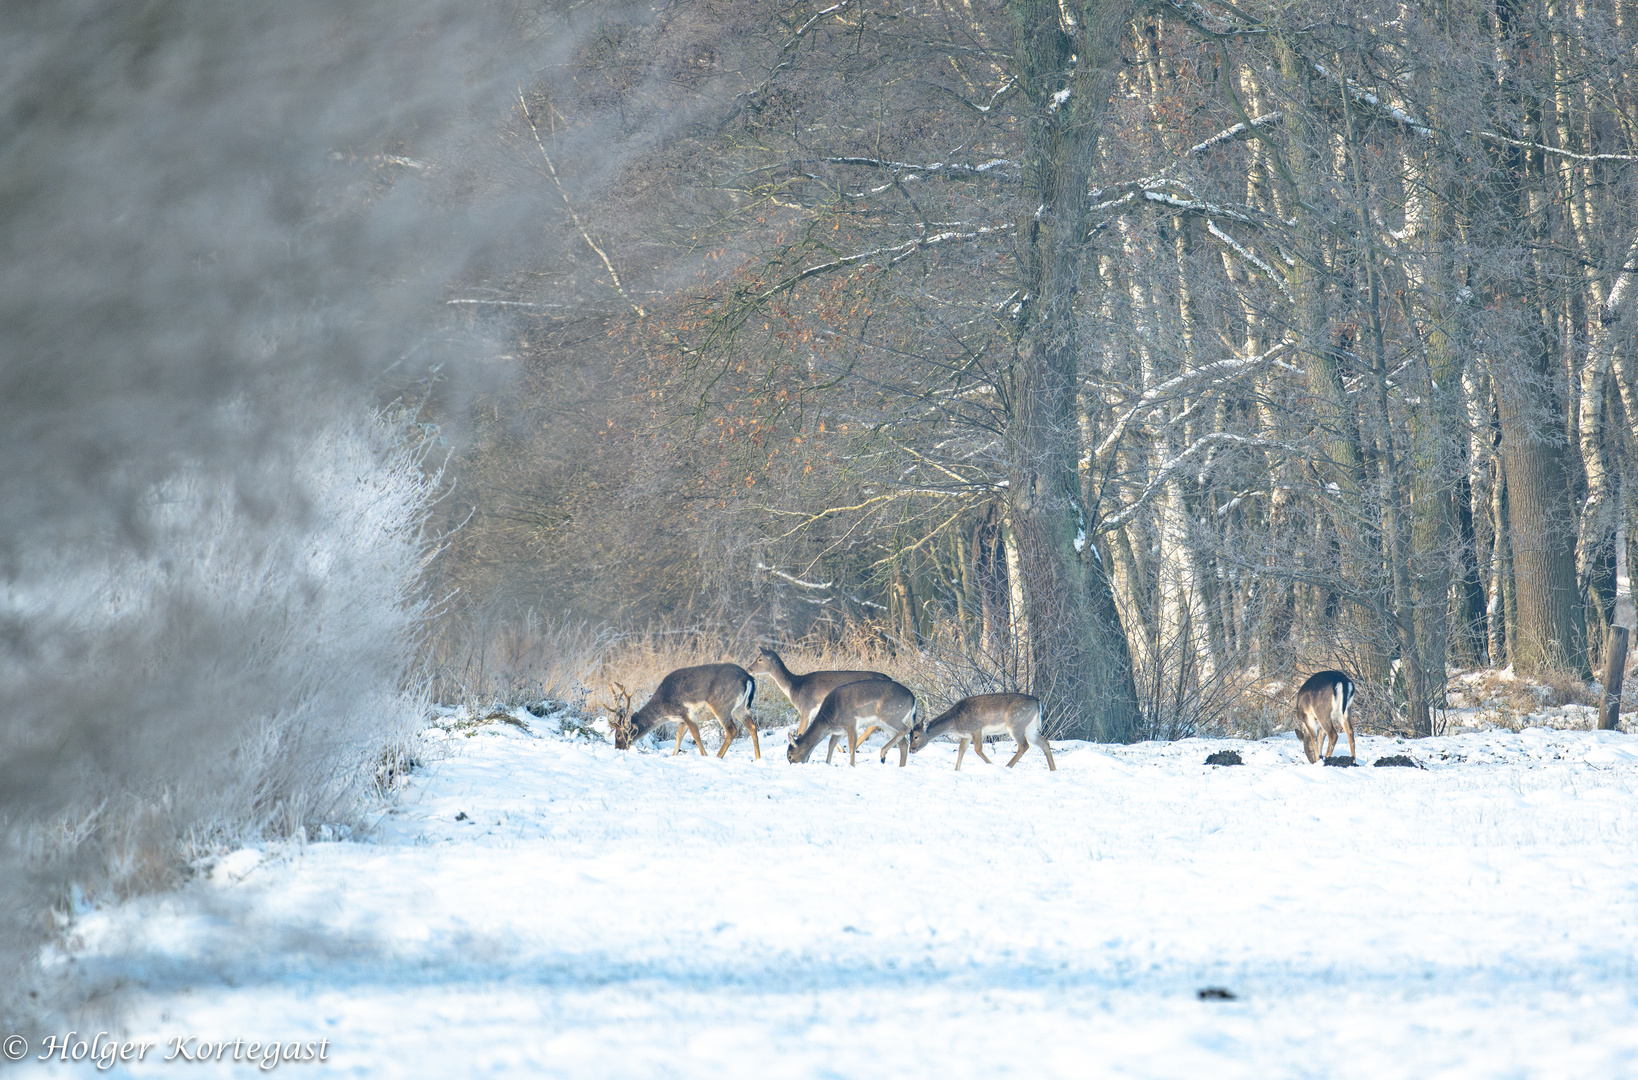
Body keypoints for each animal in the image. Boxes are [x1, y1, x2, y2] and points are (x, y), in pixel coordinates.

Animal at [602, 662, 760, 763]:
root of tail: (749, 678)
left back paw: (718, 757)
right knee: (752, 727)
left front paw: (704, 756)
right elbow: (679, 736)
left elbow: (696, 736)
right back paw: (758, 758)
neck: (665, 707)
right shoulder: (683, 717)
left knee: (732, 730)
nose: (618, 748)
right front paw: (674, 756)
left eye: (618, 734)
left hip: (722, 705)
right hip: (741, 708)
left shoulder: (687, 711)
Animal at [750, 645, 891, 740]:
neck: (794, 688)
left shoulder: (805, 708)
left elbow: (800, 731)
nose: (749, 668)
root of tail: (890, 679)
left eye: (760, 659)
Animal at [782, 675, 917, 770]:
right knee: (904, 743)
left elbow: (852, 747)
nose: (793, 765)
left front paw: (852, 766)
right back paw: (900, 766)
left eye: (789, 755)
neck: (828, 719)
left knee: (906, 729)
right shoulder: (839, 731)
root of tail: (914, 699)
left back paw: (883, 754)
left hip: (890, 715)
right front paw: (827, 763)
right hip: (887, 724)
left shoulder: (851, 723)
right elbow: (831, 745)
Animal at [904, 698, 1054, 773]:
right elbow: (961, 751)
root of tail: (1038, 702)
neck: (954, 721)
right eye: (909, 736)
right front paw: (956, 770)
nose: (911, 750)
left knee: (1024, 745)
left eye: (916, 736)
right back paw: (1053, 769)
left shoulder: (976, 729)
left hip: (1016, 724)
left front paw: (991, 765)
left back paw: (1007, 767)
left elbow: (978, 750)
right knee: (1045, 743)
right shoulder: (966, 735)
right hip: (1030, 728)